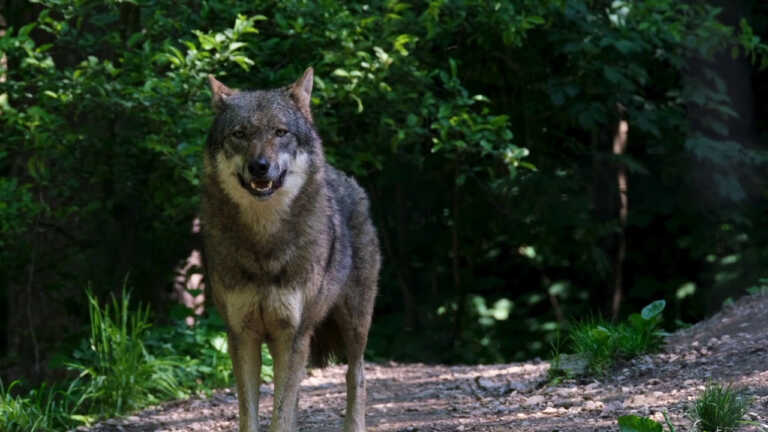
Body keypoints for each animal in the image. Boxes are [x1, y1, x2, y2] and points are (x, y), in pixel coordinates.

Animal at [201, 68, 380, 432]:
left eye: (280, 132)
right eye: (240, 134)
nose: (259, 165)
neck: (263, 246)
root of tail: (345, 177)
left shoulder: (292, 335)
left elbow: (280, 416)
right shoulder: (242, 335)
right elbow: (252, 414)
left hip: (354, 324)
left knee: (356, 376)